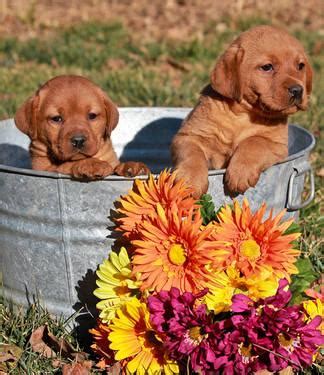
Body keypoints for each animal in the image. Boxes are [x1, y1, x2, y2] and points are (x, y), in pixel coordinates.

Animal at [14, 75, 150, 180]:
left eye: (92, 116)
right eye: (56, 119)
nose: (78, 140)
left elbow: (116, 165)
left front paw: (132, 166)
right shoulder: (43, 168)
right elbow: (64, 165)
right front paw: (92, 164)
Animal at [171, 25, 312, 198]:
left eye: (300, 66)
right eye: (267, 67)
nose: (298, 90)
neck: (242, 115)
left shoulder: (276, 144)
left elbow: (254, 142)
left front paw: (240, 172)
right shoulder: (189, 136)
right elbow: (192, 154)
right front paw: (190, 181)